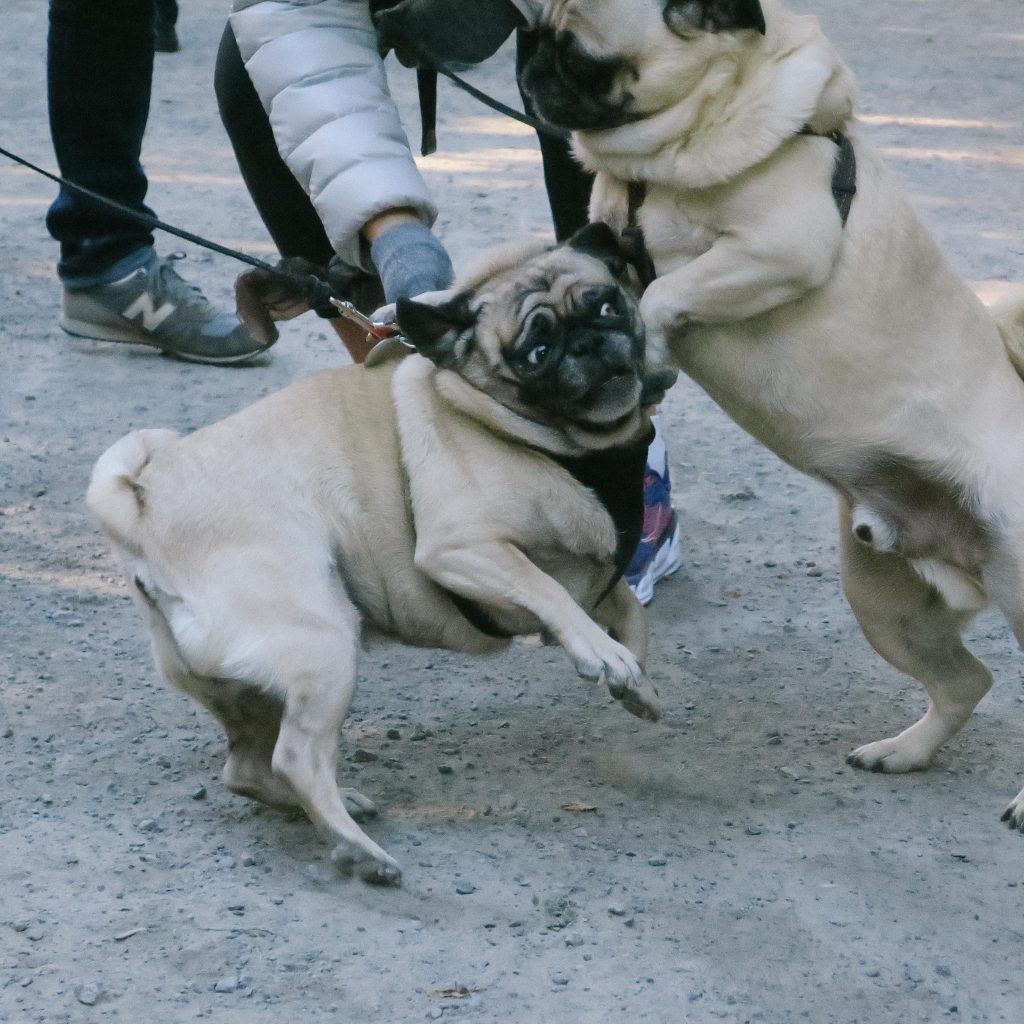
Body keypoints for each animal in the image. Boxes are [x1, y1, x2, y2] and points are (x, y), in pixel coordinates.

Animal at [83, 224, 667, 880]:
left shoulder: (593, 571)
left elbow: (629, 610)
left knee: (245, 768)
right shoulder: (461, 548)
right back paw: (361, 850)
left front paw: (637, 685)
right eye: (536, 352)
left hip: (247, 689)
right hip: (326, 645)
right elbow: (544, 587)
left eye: (606, 305)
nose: (587, 341)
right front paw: (601, 653)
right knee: (296, 758)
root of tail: (145, 512)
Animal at [524, 0, 1024, 827]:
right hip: (883, 600)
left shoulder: (779, 247)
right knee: (966, 682)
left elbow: (666, 292)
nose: (529, 67)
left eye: (585, 57)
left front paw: (648, 348)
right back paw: (903, 752)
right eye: (531, 29)